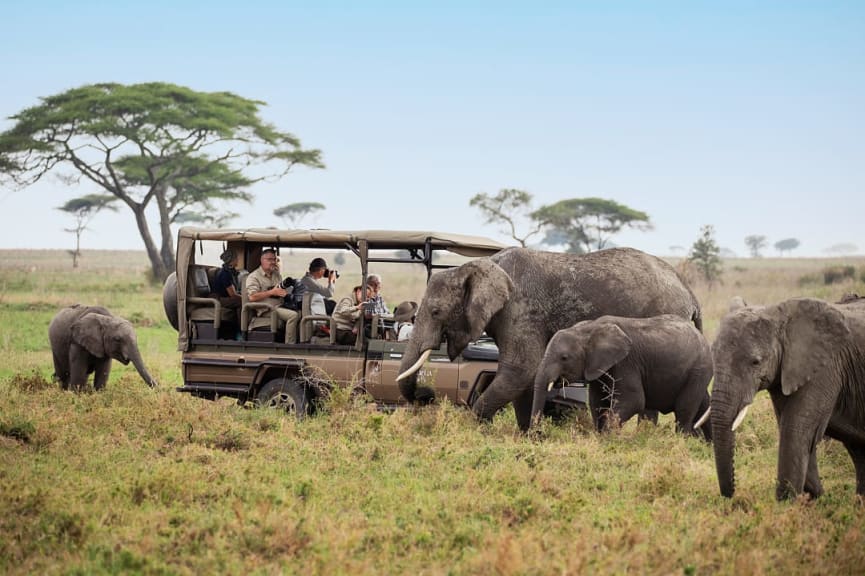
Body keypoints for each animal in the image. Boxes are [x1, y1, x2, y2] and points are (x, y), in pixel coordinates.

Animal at [396, 245, 704, 430]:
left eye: (436, 312)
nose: (424, 395)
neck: (478, 265)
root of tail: (688, 290)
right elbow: (526, 376)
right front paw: (526, 435)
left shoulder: (521, 309)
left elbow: (520, 369)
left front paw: (476, 430)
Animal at [536, 312, 712, 438]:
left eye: (564, 358)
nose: (536, 435)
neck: (588, 329)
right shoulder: (598, 367)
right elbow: (597, 402)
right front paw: (600, 438)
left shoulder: (626, 363)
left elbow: (634, 401)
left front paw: (608, 439)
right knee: (704, 405)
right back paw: (706, 444)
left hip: (699, 369)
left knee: (684, 410)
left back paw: (682, 441)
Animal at [708, 296, 864, 500]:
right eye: (713, 355)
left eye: (755, 362)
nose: (731, 496)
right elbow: (791, 428)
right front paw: (814, 497)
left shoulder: (824, 368)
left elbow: (795, 429)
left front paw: (787, 502)